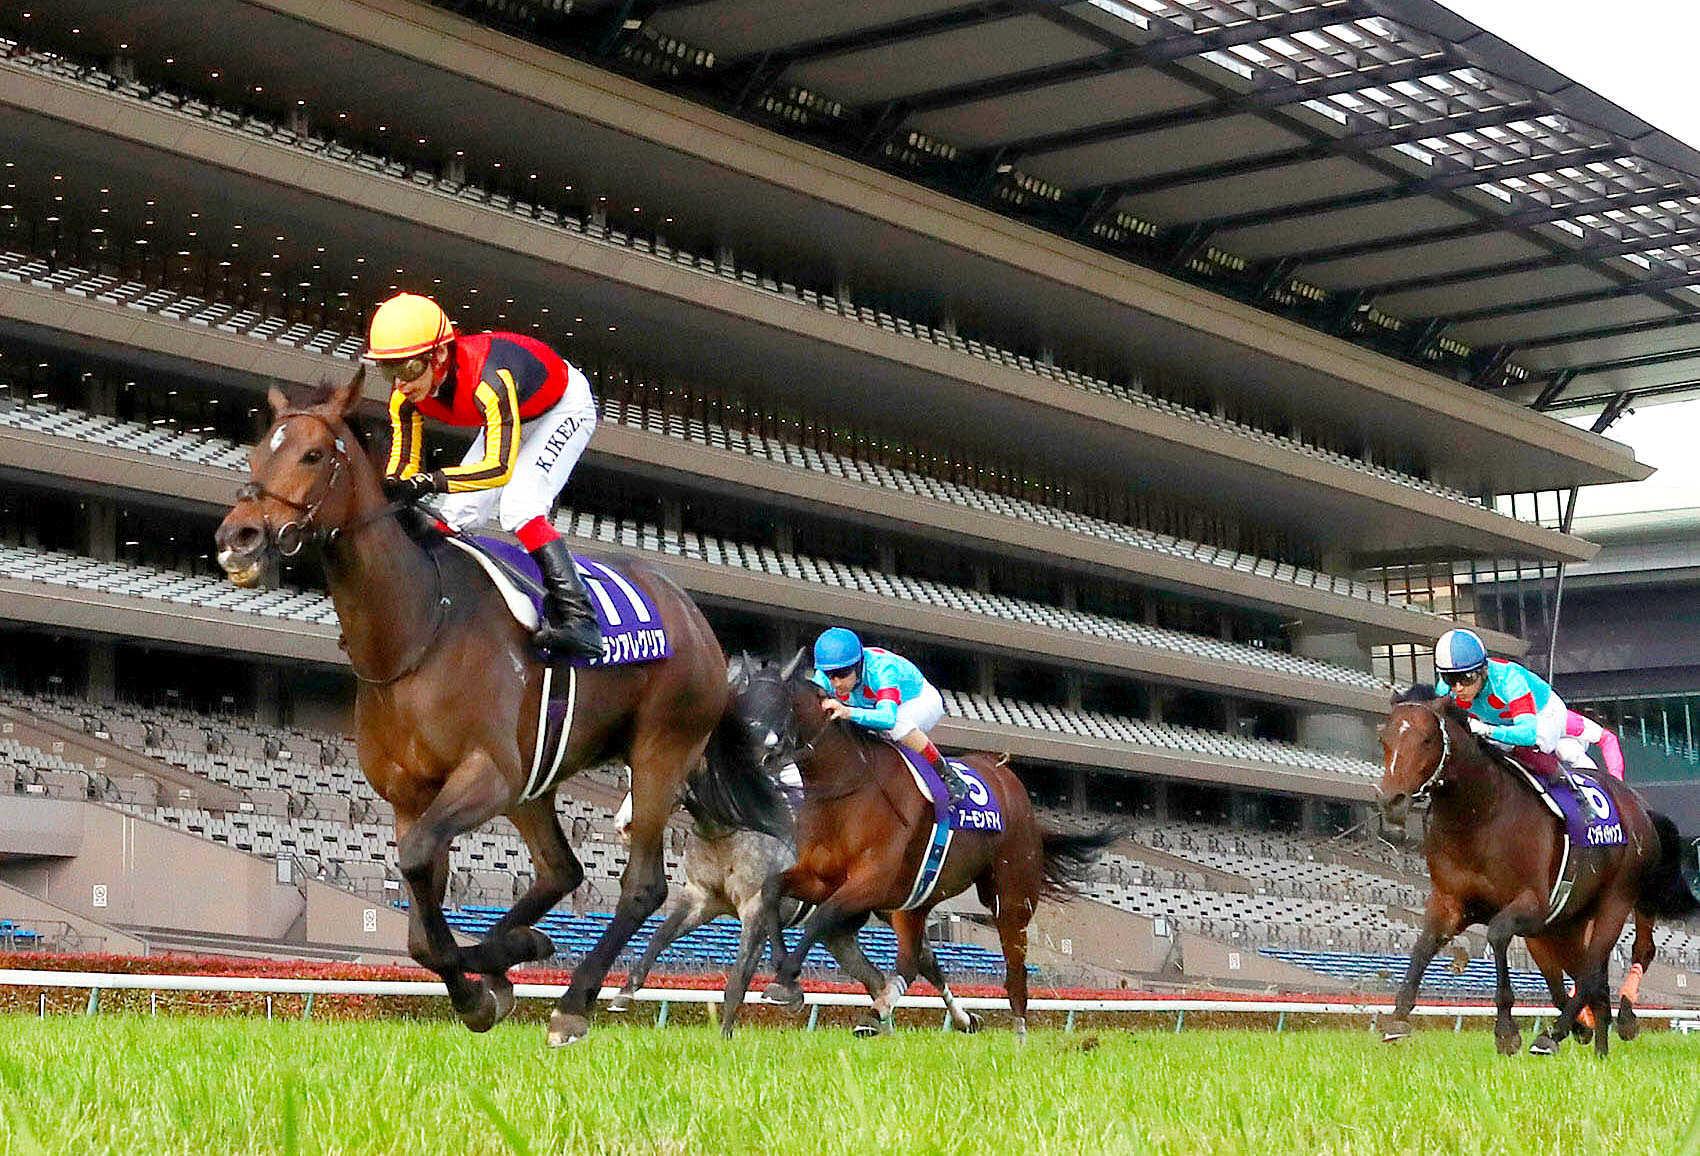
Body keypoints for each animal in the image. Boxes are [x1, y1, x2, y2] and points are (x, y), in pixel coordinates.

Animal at [214, 372, 788, 1047]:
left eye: (311, 454)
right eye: (257, 453)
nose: (237, 539)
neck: (418, 627)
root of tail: (698, 621)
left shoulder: (487, 773)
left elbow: (419, 877)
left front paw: (494, 975)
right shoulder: (411, 797)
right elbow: (418, 923)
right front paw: (492, 978)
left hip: (657, 753)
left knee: (643, 885)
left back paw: (573, 1002)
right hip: (536, 780)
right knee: (562, 871)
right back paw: (514, 952)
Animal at [734, 649, 1115, 1040]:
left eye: (777, 705)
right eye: (739, 705)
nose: (747, 758)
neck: (846, 786)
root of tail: (1008, 780)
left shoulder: (872, 880)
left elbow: (823, 915)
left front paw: (786, 977)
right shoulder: (822, 876)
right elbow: (772, 888)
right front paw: (782, 968)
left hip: (1011, 895)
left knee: (1014, 970)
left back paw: (1018, 1034)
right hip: (913, 900)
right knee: (913, 961)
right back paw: (888, 1013)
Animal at [1380, 686, 1686, 1054]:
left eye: (1427, 739)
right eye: (1384, 738)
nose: (1392, 799)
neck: (1479, 815)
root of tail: (1637, 804)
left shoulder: (1534, 902)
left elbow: (1497, 934)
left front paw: (1506, 1030)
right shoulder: (1450, 901)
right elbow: (1424, 945)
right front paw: (1397, 1018)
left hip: (1615, 902)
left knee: (1600, 968)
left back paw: (1563, 1031)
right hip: (1561, 926)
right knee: (1590, 981)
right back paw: (1596, 1044)